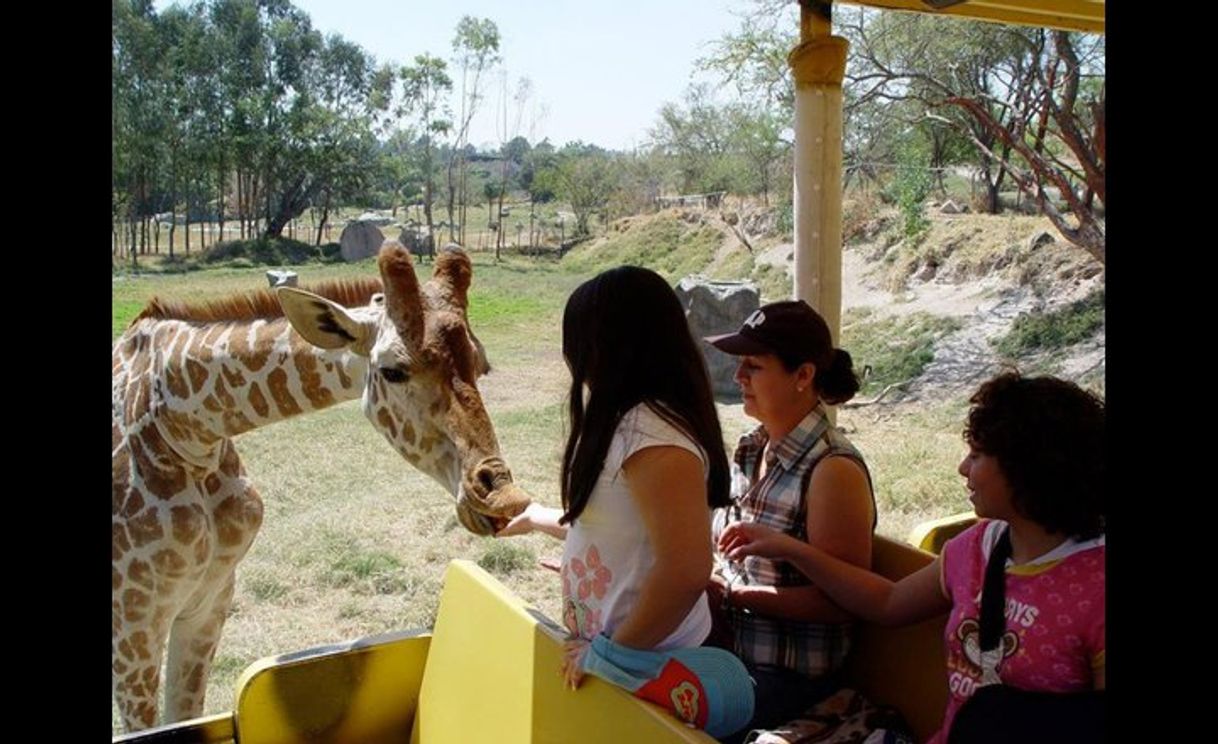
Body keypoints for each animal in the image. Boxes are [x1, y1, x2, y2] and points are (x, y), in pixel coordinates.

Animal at [113, 241, 528, 730]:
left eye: (481, 363)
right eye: (392, 371)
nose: (503, 496)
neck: (183, 425)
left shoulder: (209, 600)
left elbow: (184, 715)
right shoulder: (133, 626)